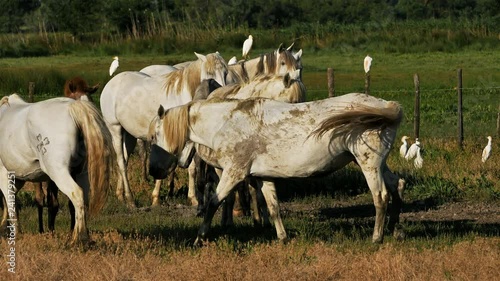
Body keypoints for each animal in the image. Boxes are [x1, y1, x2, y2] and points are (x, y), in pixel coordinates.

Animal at [0, 93, 114, 243]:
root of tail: (73, 106)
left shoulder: (4, 175)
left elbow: (10, 202)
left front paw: (14, 233)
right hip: (81, 173)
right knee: (83, 198)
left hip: (58, 172)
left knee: (76, 193)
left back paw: (79, 238)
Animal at [34, 76, 99, 232]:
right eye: (76, 101)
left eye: (92, 101)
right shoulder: (54, 176)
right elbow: (53, 204)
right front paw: (51, 231)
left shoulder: (75, 173)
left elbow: (72, 204)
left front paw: (72, 230)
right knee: (39, 199)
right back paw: (41, 230)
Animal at [100, 51, 229, 207]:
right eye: (209, 73)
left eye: (226, 72)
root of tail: (111, 83)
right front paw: (156, 198)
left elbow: (191, 169)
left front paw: (193, 198)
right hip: (115, 129)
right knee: (121, 162)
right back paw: (130, 200)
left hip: (129, 135)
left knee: (124, 159)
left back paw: (121, 195)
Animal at [148, 93, 406, 244]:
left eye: (154, 136)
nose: (153, 171)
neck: (227, 122)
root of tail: (388, 106)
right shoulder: (263, 176)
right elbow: (273, 208)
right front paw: (282, 238)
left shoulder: (234, 173)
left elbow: (212, 203)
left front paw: (199, 239)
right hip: (376, 163)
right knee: (397, 185)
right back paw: (394, 229)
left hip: (368, 163)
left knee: (381, 196)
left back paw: (376, 238)